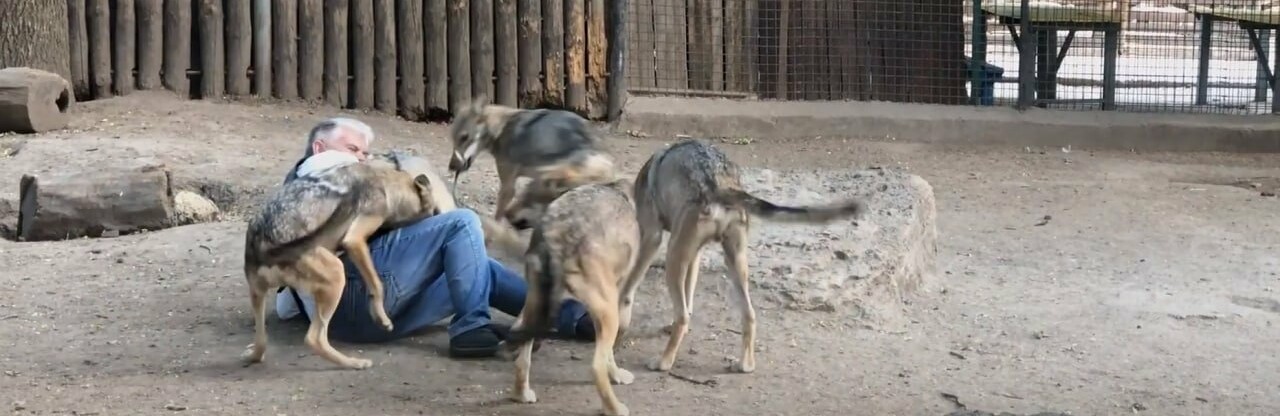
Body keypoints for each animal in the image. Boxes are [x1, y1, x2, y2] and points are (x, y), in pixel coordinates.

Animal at [241, 155, 442, 368]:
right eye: (434, 210)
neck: (383, 181)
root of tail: (260, 244)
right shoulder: (354, 240)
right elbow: (378, 286)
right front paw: (382, 318)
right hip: (336, 275)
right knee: (314, 339)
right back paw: (354, 362)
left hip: (259, 298)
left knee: (261, 344)